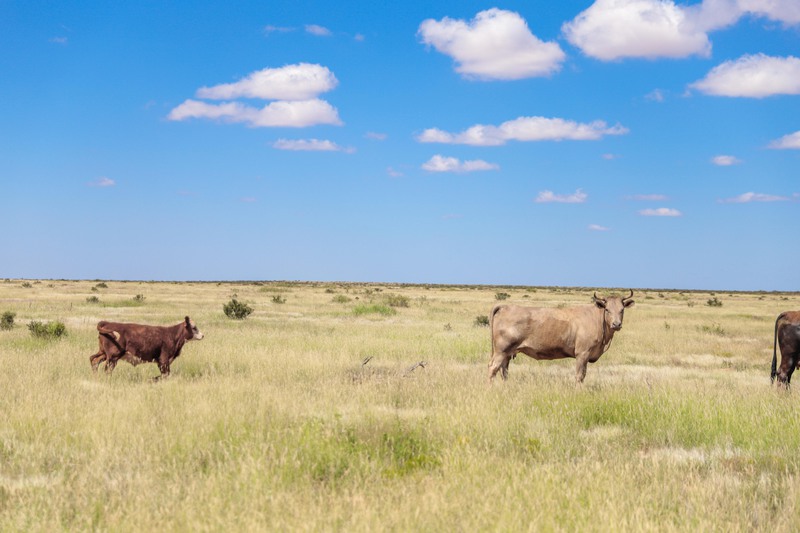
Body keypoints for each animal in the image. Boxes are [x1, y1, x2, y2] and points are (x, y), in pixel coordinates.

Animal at [488, 290, 636, 382]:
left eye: (621, 310)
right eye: (607, 309)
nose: (616, 324)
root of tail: (505, 307)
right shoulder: (582, 354)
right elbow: (580, 376)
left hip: (507, 353)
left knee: (504, 370)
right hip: (501, 351)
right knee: (493, 368)